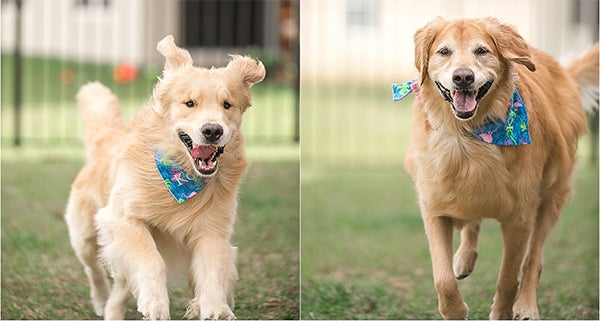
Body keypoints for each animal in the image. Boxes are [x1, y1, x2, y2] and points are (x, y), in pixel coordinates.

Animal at [64, 36, 266, 318]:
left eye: (227, 105)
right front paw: (155, 302)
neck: (181, 175)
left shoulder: (212, 230)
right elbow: (150, 258)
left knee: (121, 286)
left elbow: (213, 268)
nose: (212, 130)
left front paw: (215, 307)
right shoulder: (122, 218)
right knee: (94, 269)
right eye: (189, 103)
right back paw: (101, 300)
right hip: (85, 234)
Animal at [406, 18, 596, 320]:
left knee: (533, 260)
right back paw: (464, 258)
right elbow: (442, 279)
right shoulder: (434, 204)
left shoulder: (519, 216)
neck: (469, 137)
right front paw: (454, 310)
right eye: (444, 52)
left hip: (551, 195)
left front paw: (503, 312)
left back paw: (527, 305)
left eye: (482, 50)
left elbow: (508, 276)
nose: (463, 77)